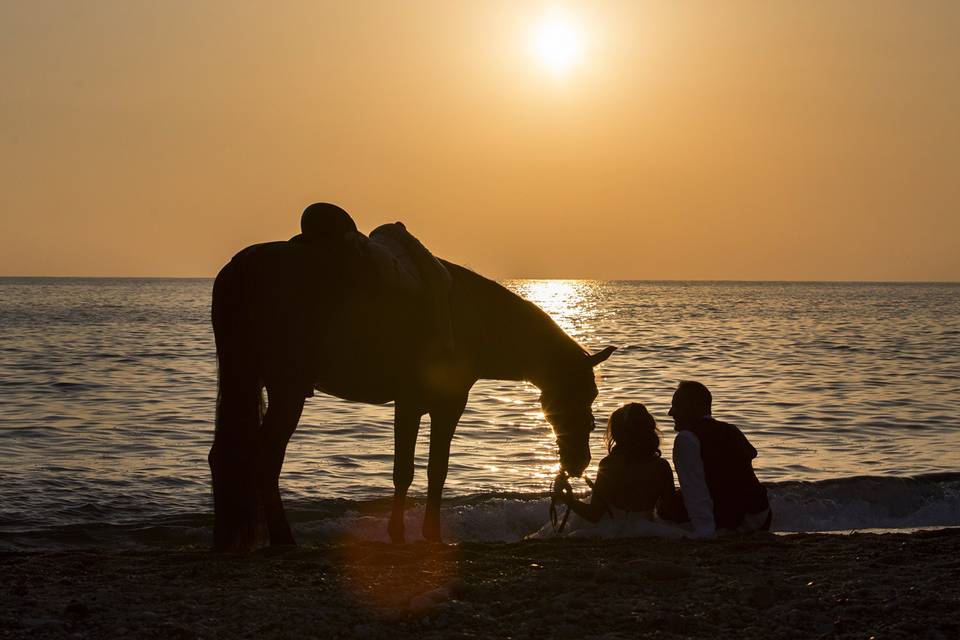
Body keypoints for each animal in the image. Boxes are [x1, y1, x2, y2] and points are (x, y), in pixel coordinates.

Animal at [209, 226, 616, 552]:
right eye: (586, 393)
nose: (579, 462)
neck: (472, 317)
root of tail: (240, 268)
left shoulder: (415, 405)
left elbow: (416, 470)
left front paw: (406, 535)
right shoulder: (438, 405)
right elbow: (426, 470)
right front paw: (422, 535)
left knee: (226, 455)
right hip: (287, 391)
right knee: (264, 458)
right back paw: (283, 538)